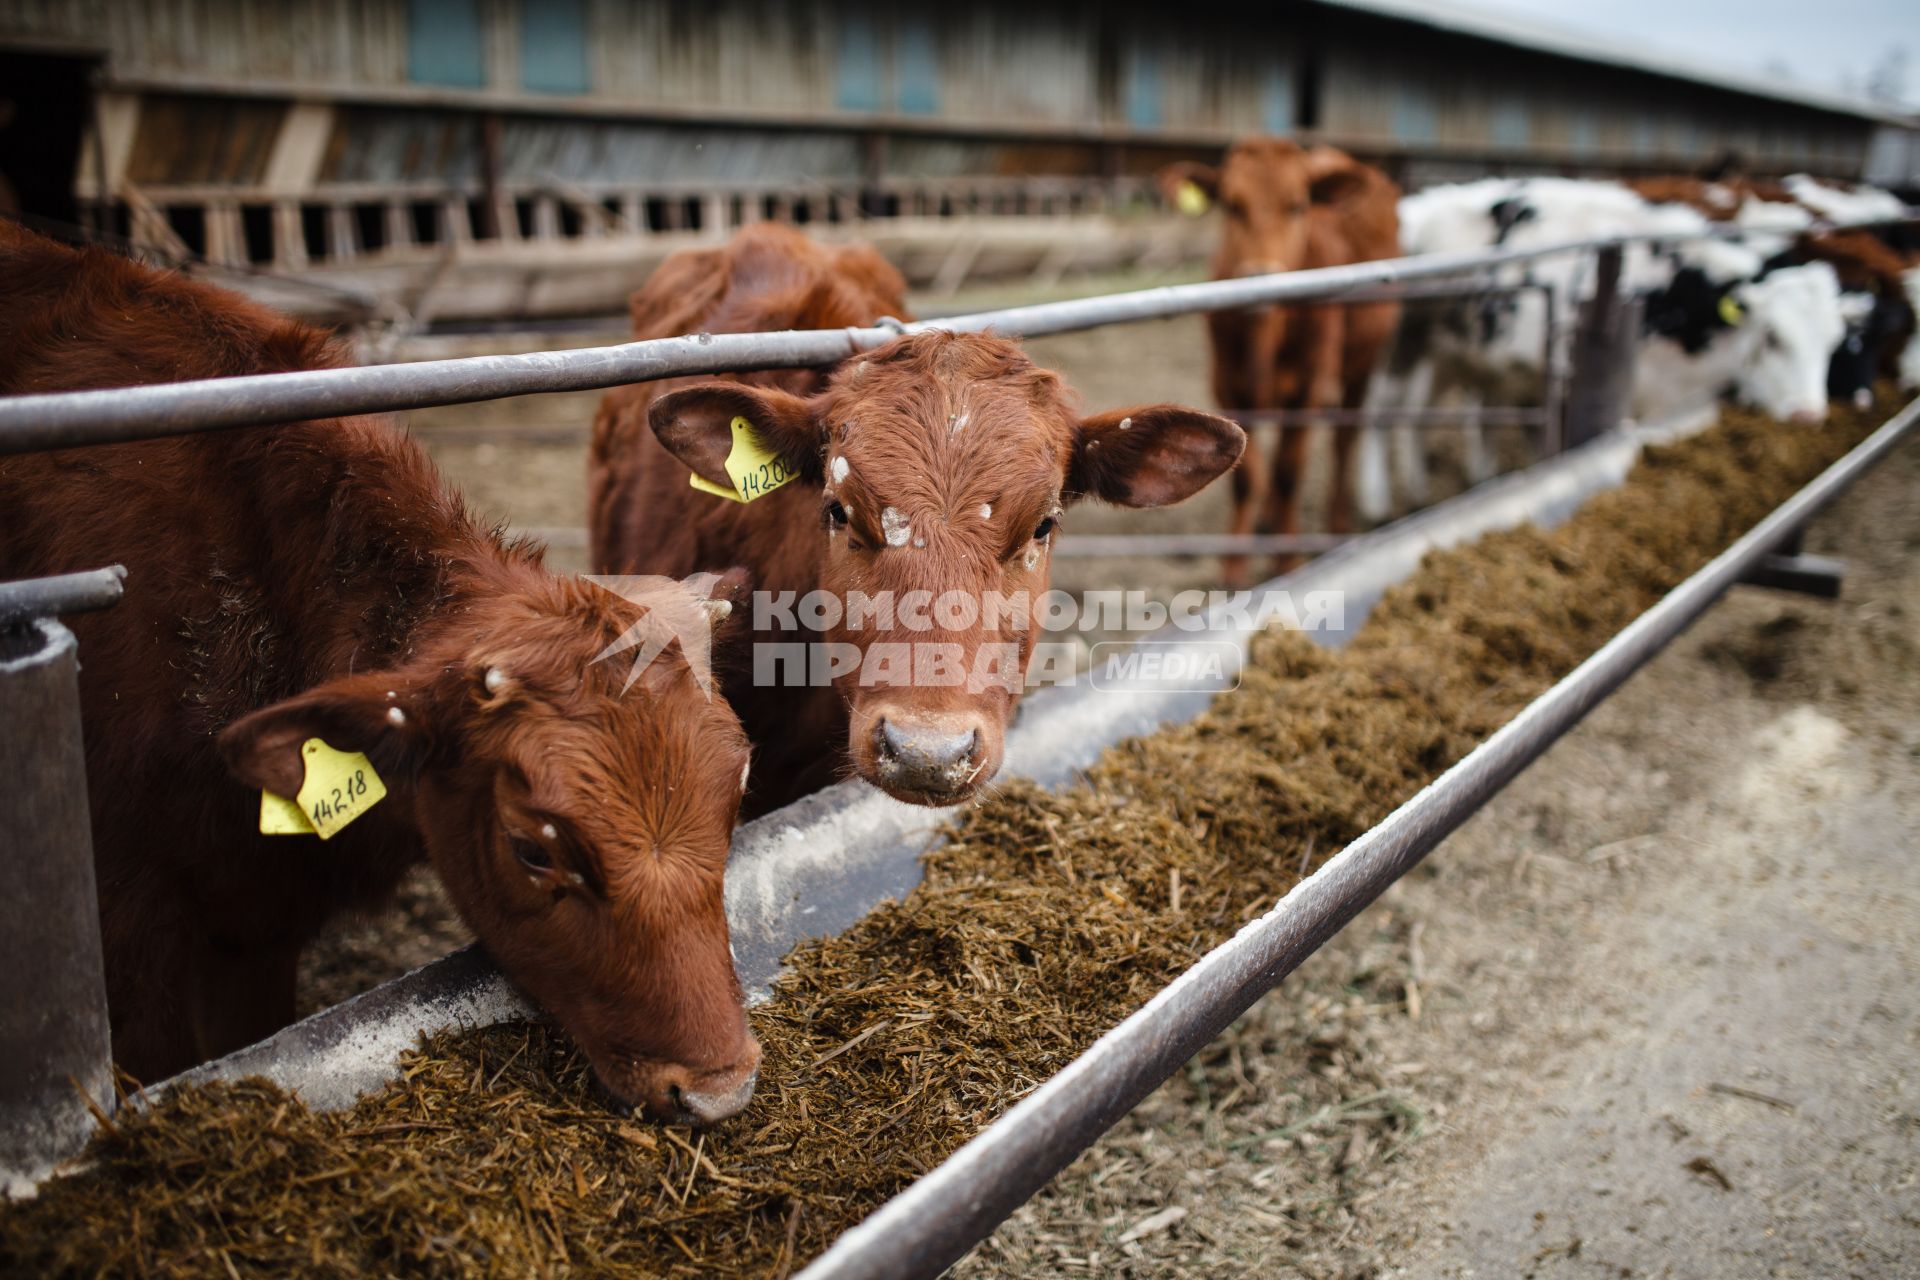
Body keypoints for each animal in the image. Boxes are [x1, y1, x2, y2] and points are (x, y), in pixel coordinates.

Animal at [1159, 136, 1405, 587]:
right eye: (1232, 205)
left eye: (1297, 205)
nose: (1260, 274)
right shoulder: (1227, 385)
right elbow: (1246, 475)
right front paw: (1235, 567)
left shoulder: (1309, 388)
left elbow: (1289, 473)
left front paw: (1286, 560)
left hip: (1363, 365)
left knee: (1344, 438)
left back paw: (1335, 521)